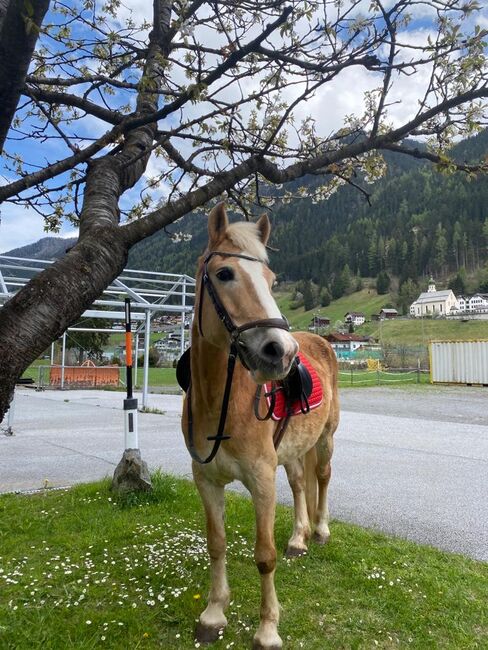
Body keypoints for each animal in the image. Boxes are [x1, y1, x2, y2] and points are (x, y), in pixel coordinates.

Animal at [180, 204, 340, 648]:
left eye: (271, 280)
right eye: (224, 274)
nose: (280, 352)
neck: (221, 404)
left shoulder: (261, 479)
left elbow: (264, 556)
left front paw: (268, 630)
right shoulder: (206, 480)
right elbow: (216, 545)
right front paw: (214, 613)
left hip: (325, 439)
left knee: (322, 477)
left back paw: (319, 530)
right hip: (292, 448)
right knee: (300, 483)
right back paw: (299, 538)